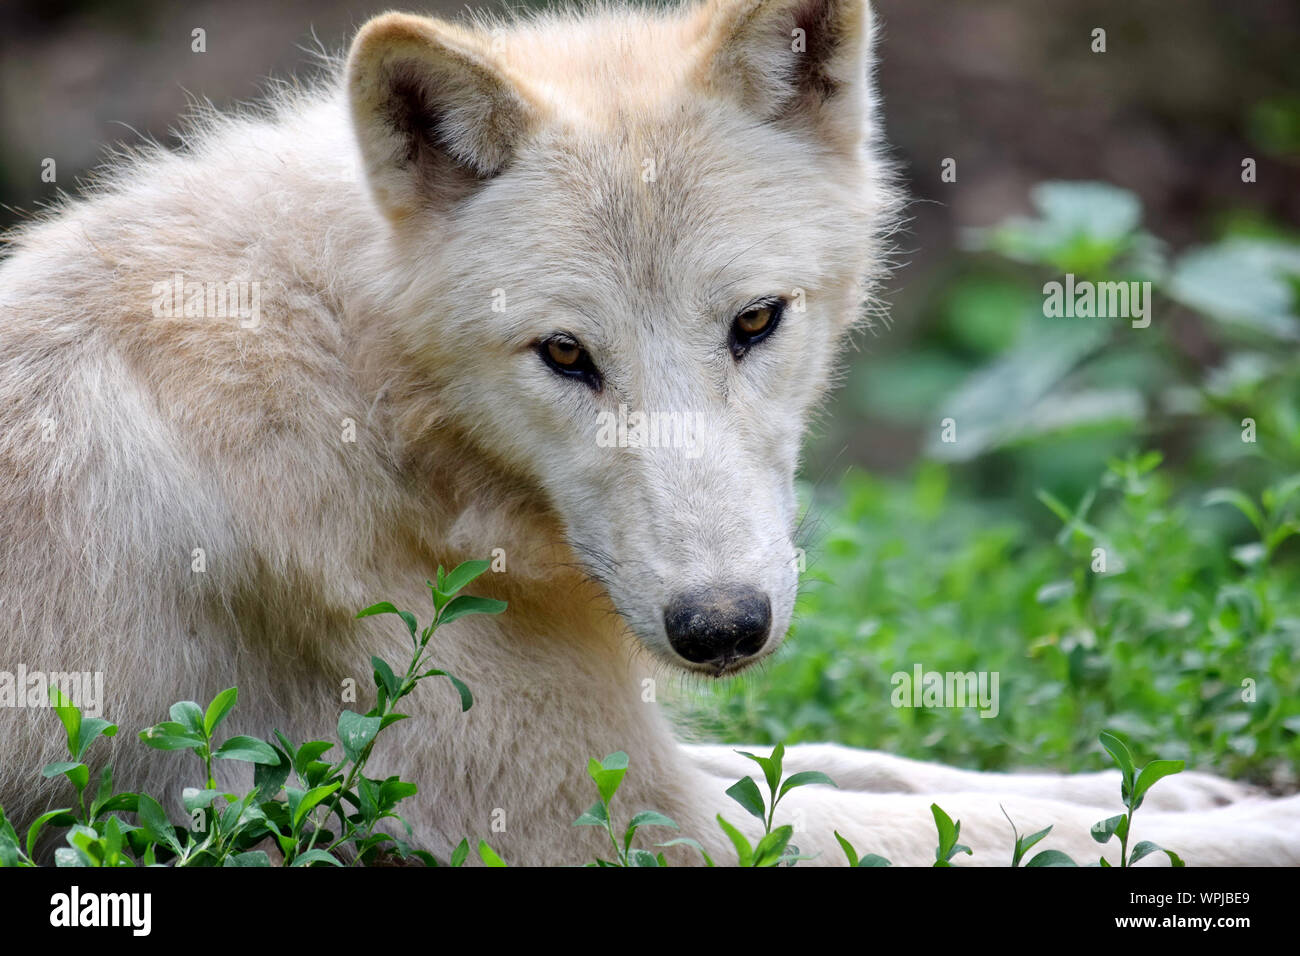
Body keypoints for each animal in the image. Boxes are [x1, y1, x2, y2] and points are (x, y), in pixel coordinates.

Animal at [0, 0, 1295, 866]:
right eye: (566, 354)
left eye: (756, 320)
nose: (720, 626)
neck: (363, 396)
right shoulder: (625, 824)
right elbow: (978, 822)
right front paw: (1257, 819)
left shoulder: (641, 743)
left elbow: (901, 767)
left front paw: (1185, 786)